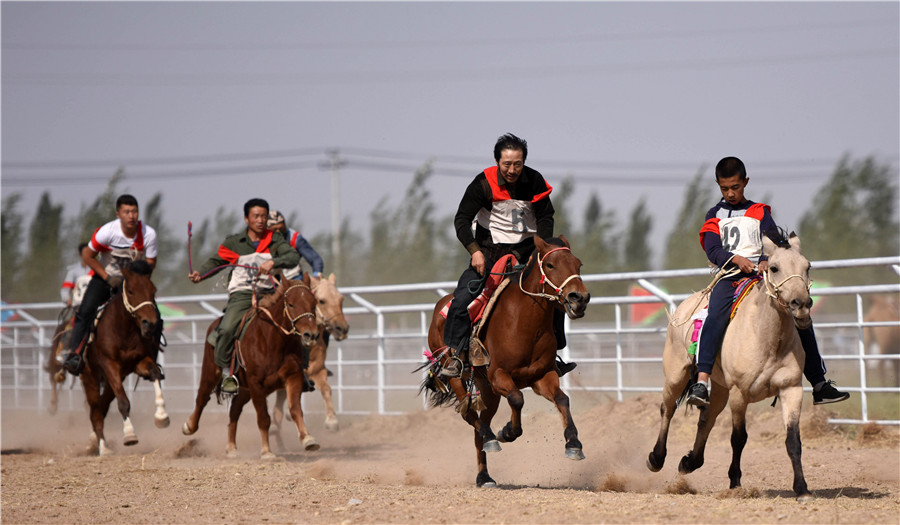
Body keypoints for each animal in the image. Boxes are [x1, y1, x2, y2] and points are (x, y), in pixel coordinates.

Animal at [76, 260, 170, 454]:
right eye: (131, 291)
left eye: (153, 290)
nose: (150, 323)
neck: (123, 330)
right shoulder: (110, 364)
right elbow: (124, 402)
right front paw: (129, 434)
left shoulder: (138, 362)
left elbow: (155, 373)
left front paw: (161, 416)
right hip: (90, 375)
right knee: (95, 410)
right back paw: (103, 447)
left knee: (102, 406)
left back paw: (95, 441)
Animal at [181, 272, 322, 456]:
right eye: (291, 304)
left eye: (314, 303)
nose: (311, 335)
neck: (273, 341)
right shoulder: (256, 383)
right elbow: (263, 417)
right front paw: (267, 452)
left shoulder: (293, 377)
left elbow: (295, 410)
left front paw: (308, 439)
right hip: (211, 373)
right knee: (202, 398)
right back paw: (189, 426)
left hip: (243, 389)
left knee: (234, 410)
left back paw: (231, 448)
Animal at [270, 272, 348, 436]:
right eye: (321, 301)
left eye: (341, 299)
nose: (342, 329)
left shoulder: (318, 369)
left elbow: (326, 389)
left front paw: (332, 420)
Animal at [420, 234, 592, 488]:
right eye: (550, 265)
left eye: (578, 264)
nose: (579, 298)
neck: (526, 324)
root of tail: (441, 306)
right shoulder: (498, 375)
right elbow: (517, 398)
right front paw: (507, 431)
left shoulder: (542, 376)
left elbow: (562, 399)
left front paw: (573, 444)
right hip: (458, 378)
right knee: (469, 415)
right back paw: (491, 438)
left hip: (488, 391)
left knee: (479, 428)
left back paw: (484, 476)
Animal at [648, 231, 816, 498]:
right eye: (775, 268)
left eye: (807, 266)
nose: (801, 304)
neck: (767, 337)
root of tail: (683, 309)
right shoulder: (739, 393)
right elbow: (739, 438)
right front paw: (735, 482)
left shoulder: (791, 389)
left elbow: (793, 441)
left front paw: (802, 489)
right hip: (676, 375)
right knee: (668, 409)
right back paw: (656, 457)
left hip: (718, 389)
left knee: (705, 419)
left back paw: (690, 462)